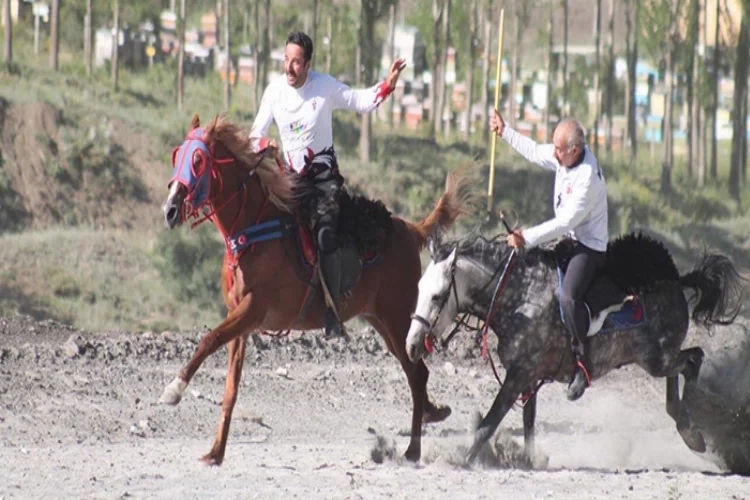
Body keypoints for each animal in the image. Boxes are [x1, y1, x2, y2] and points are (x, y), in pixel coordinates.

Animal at [159, 115, 470, 466]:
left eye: (198, 160)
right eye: (177, 155)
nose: (169, 210)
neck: (254, 230)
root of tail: (410, 229)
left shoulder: (253, 309)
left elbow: (209, 339)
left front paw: (174, 389)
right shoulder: (240, 320)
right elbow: (230, 386)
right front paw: (216, 451)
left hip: (398, 317)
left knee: (417, 375)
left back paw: (413, 449)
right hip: (382, 323)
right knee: (416, 372)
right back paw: (432, 415)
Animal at [408, 231, 744, 464]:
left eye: (437, 296)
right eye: (419, 289)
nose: (411, 345)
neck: (520, 296)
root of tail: (676, 280)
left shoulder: (518, 375)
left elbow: (488, 424)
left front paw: (462, 459)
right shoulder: (528, 377)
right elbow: (528, 423)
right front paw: (529, 460)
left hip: (657, 358)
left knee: (694, 359)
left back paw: (692, 428)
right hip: (656, 357)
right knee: (683, 368)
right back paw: (684, 421)